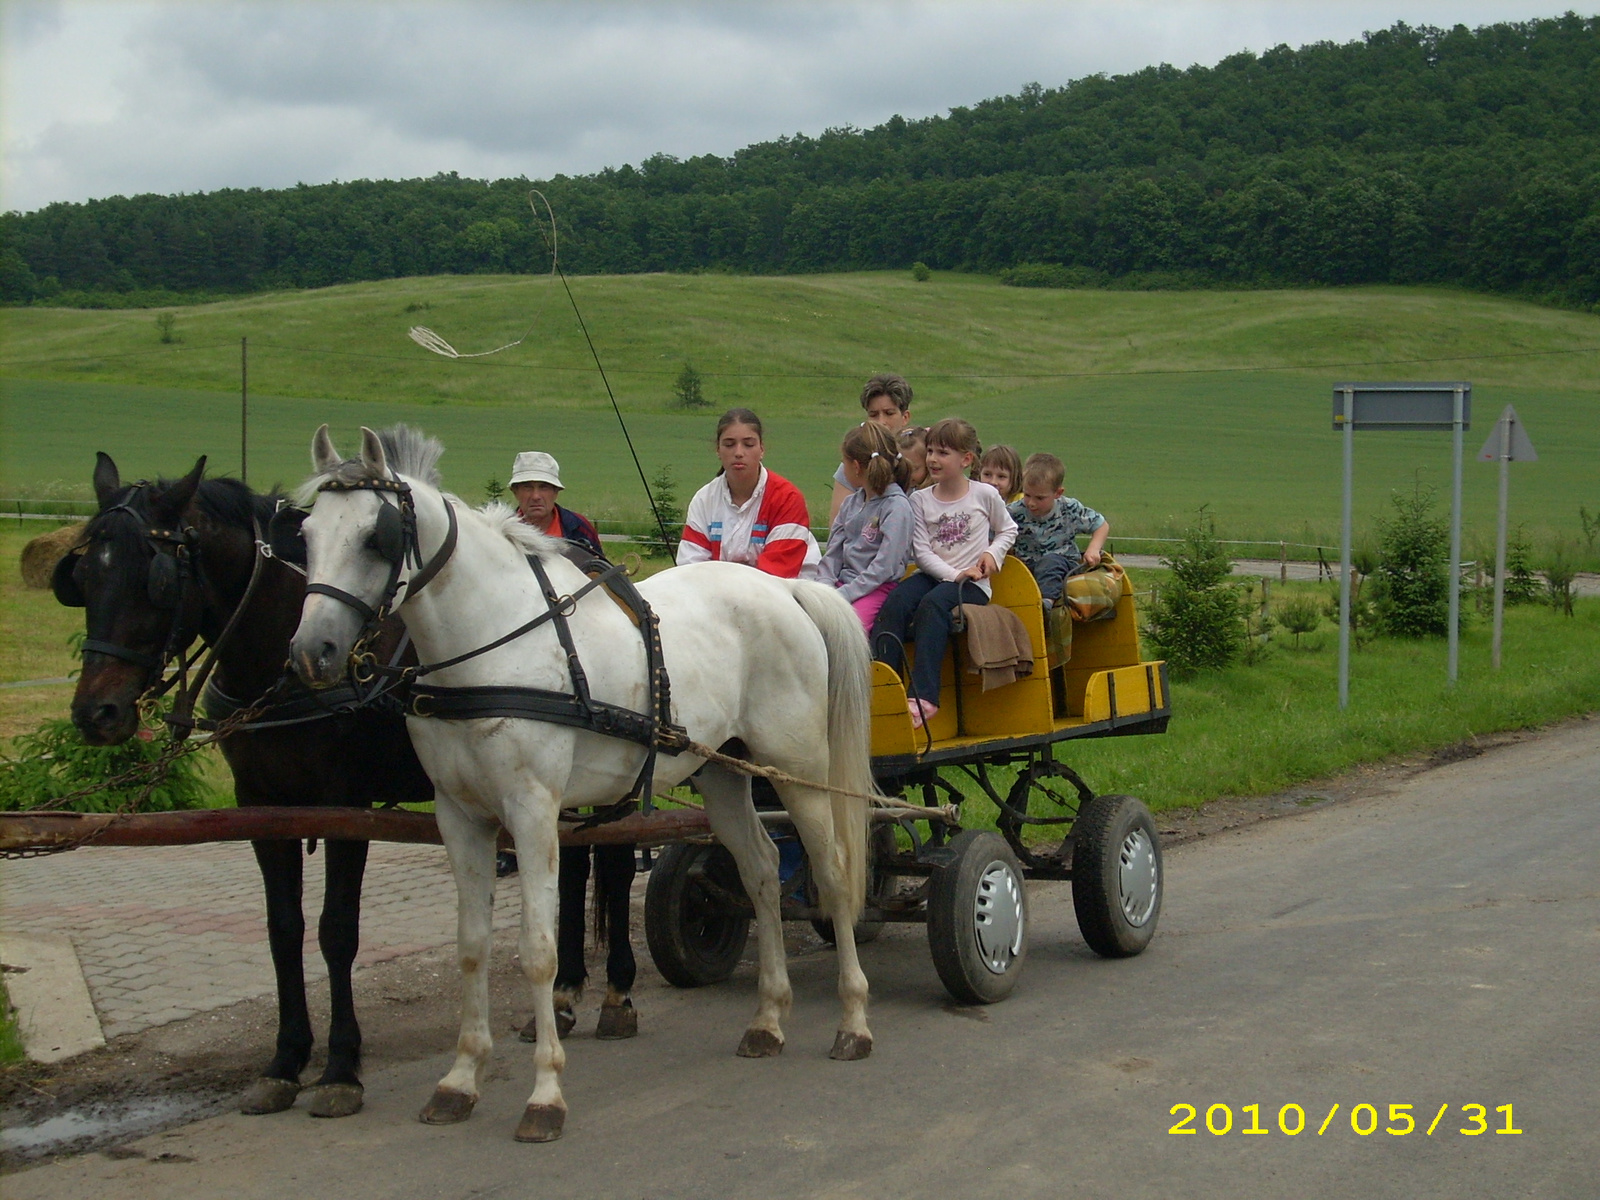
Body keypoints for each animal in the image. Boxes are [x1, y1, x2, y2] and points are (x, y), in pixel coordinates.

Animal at [281, 428, 870, 1139]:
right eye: (307, 533)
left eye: (377, 537)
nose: (311, 652)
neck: (490, 645)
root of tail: (783, 593)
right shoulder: (460, 816)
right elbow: (472, 946)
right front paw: (459, 1080)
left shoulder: (533, 810)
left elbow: (537, 951)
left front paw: (545, 1094)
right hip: (725, 772)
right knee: (758, 869)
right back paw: (768, 1019)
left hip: (797, 768)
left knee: (833, 870)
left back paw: (853, 1020)